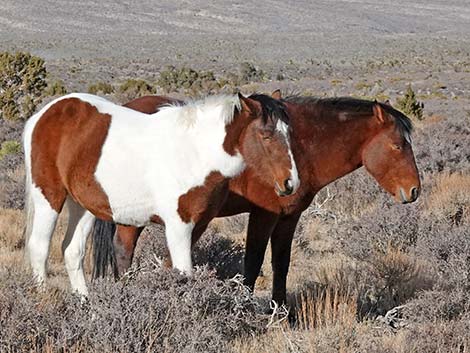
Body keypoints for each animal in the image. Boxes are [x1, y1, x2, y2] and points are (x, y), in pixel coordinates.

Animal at [23, 91, 298, 294]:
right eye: (265, 135)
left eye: (289, 133)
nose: (290, 183)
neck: (196, 151)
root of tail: (45, 113)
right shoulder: (178, 225)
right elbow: (183, 273)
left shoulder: (197, 225)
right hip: (49, 197)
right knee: (39, 247)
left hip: (82, 206)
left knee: (72, 251)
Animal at [93, 91, 420, 302]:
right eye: (397, 145)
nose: (414, 190)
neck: (298, 149)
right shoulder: (264, 214)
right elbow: (252, 263)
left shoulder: (289, 217)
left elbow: (280, 263)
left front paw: (282, 313)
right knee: (125, 252)